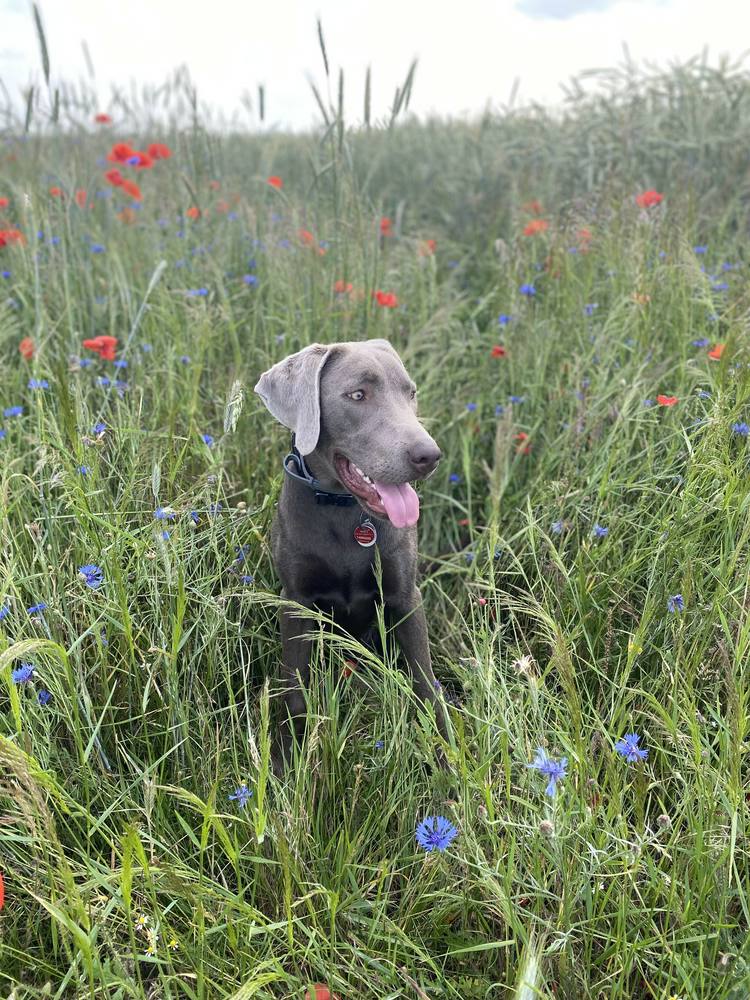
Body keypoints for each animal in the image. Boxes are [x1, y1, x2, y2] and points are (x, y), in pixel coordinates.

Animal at [256, 336, 450, 764]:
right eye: (358, 395)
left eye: (410, 393)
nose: (429, 456)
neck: (344, 509)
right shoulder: (295, 603)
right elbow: (295, 691)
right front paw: (286, 761)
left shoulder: (406, 597)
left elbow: (425, 683)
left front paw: (447, 753)